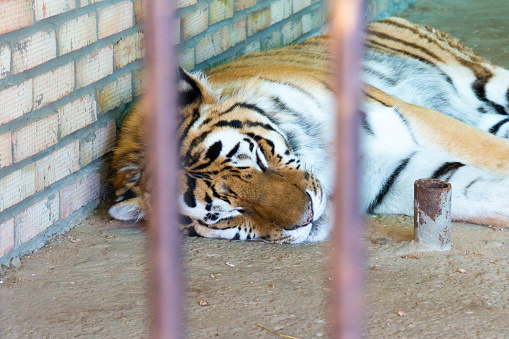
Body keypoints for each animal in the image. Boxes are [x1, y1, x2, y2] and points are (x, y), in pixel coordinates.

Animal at [107, 17, 508, 243]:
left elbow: (493, 155)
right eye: (225, 214)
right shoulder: (399, 177)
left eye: (256, 156)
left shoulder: (418, 121)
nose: (308, 217)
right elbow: (484, 196)